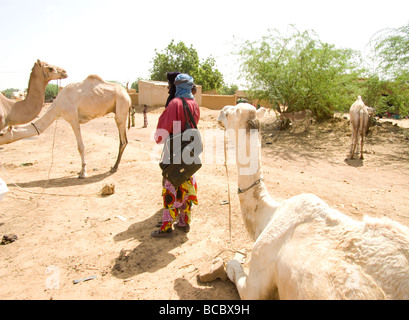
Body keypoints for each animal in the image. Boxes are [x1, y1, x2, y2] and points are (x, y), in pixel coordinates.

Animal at [0, 75, 131, 180]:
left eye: (1, 134)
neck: (57, 105)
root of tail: (127, 94)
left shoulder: (73, 119)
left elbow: (80, 147)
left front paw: (83, 173)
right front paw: (80, 171)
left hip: (121, 106)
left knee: (123, 139)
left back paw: (114, 167)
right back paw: (114, 166)